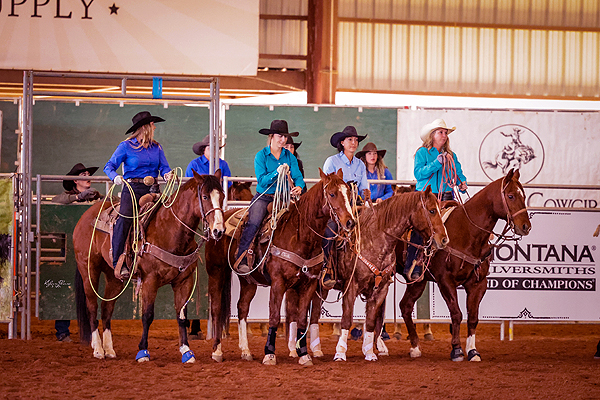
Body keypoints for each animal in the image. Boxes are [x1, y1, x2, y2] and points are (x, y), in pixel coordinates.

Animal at [74, 170, 225, 364]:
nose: (218, 231)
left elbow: (181, 316)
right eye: (205, 196)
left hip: (114, 277)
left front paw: (186, 351)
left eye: (222, 196)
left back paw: (109, 349)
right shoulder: (150, 280)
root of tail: (86, 215)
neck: (169, 229)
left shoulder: (184, 281)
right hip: (88, 269)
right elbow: (147, 316)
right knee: (92, 307)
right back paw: (98, 349)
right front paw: (143, 351)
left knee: (107, 308)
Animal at [206, 169, 356, 366]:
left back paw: (245, 350)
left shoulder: (308, 285)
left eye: (348, 193)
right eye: (332, 194)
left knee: (242, 308)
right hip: (217, 271)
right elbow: (275, 316)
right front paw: (270, 354)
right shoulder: (278, 282)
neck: (299, 235)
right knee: (216, 308)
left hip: (248, 280)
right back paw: (216, 351)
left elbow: (301, 319)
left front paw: (304, 354)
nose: (350, 222)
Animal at [400, 167, 532, 360]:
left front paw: (472, 351)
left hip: (417, 282)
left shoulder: (478, 283)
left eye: (524, 195)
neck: (468, 232)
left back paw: (415, 348)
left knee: (405, 306)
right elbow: (456, 314)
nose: (526, 227)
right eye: (511, 196)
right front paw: (456, 349)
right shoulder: (445, 281)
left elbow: (472, 317)